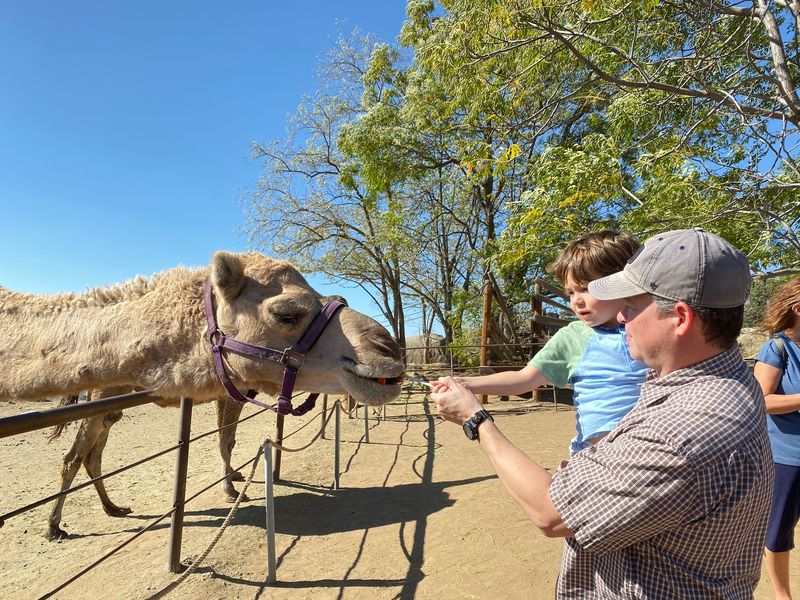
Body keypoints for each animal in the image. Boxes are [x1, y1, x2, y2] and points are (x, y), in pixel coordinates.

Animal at [0, 251, 405, 539]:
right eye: (286, 313)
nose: (387, 349)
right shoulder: (233, 391)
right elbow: (225, 441)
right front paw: (230, 488)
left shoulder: (236, 388)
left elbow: (229, 438)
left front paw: (236, 478)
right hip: (102, 394)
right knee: (74, 456)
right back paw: (55, 527)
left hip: (111, 398)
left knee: (92, 454)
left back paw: (113, 508)